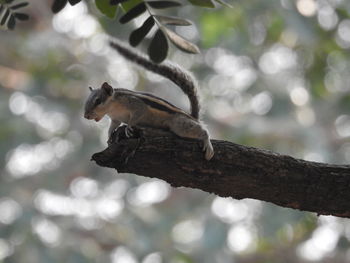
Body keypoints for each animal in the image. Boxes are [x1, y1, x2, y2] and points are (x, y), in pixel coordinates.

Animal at [84, 41, 213, 161]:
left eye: (98, 101)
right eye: (86, 102)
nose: (86, 116)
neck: (112, 107)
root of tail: (193, 117)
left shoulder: (134, 103)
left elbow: (139, 112)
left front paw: (128, 126)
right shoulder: (115, 118)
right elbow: (113, 126)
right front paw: (109, 135)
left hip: (179, 124)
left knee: (202, 130)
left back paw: (208, 144)